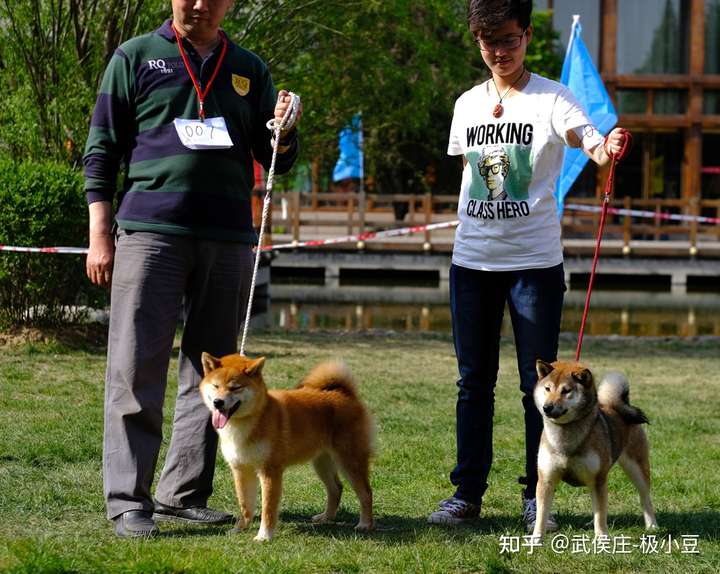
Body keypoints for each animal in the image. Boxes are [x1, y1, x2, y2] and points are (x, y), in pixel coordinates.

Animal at [198, 354, 374, 544]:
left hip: (350, 461)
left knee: (366, 493)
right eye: (216, 386)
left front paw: (264, 535)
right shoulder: (241, 470)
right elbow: (245, 506)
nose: (218, 402)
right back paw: (326, 517)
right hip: (322, 463)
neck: (250, 421)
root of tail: (345, 393)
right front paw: (239, 529)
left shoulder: (270, 471)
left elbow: (268, 509)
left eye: (235, 388)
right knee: (336, 488)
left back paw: (365, 524)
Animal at [532, 362, 656, 544]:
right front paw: (535, 540)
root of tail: (614, 406)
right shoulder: (546, 480)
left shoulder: (598, 478)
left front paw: (602, 538)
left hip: (636, 468)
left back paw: (652, 525)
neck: (565, 436)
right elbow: (541, 515)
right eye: (547, 389)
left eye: (566, 390)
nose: (547, 407)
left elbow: (601, 512)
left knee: (644, 497)